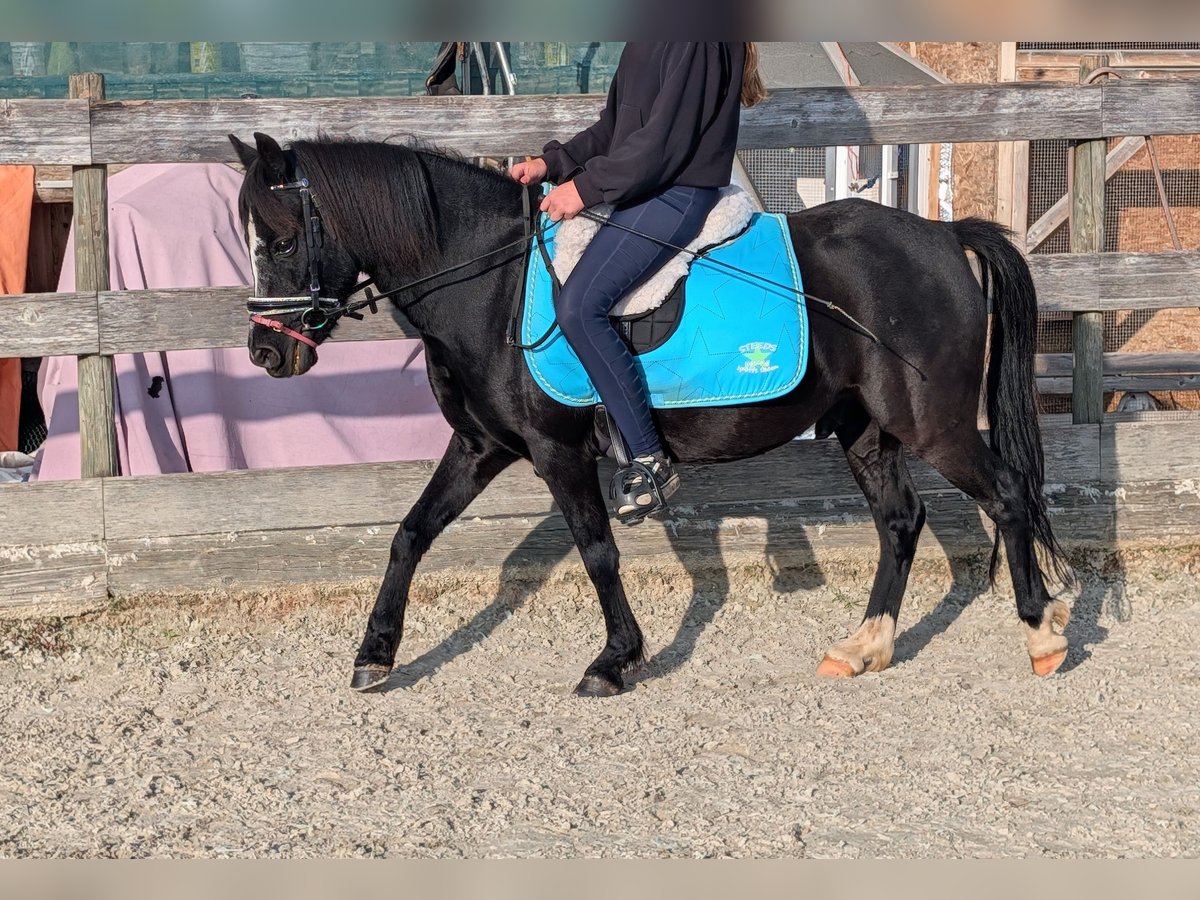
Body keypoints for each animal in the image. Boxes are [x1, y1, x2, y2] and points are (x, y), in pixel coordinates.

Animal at [229, 131, 1073, 696]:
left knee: (1007, 496)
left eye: (281, 239)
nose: (266, 353)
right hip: (867, 430)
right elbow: (410, 534)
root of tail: (945, 235)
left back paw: (1040, 634)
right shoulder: (479, 446)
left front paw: (615, 660)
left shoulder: (557, 450)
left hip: (935, 424)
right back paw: (863, 646)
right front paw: (375, 653)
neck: (489, 284)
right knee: (900, 521)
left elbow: (598, 550)